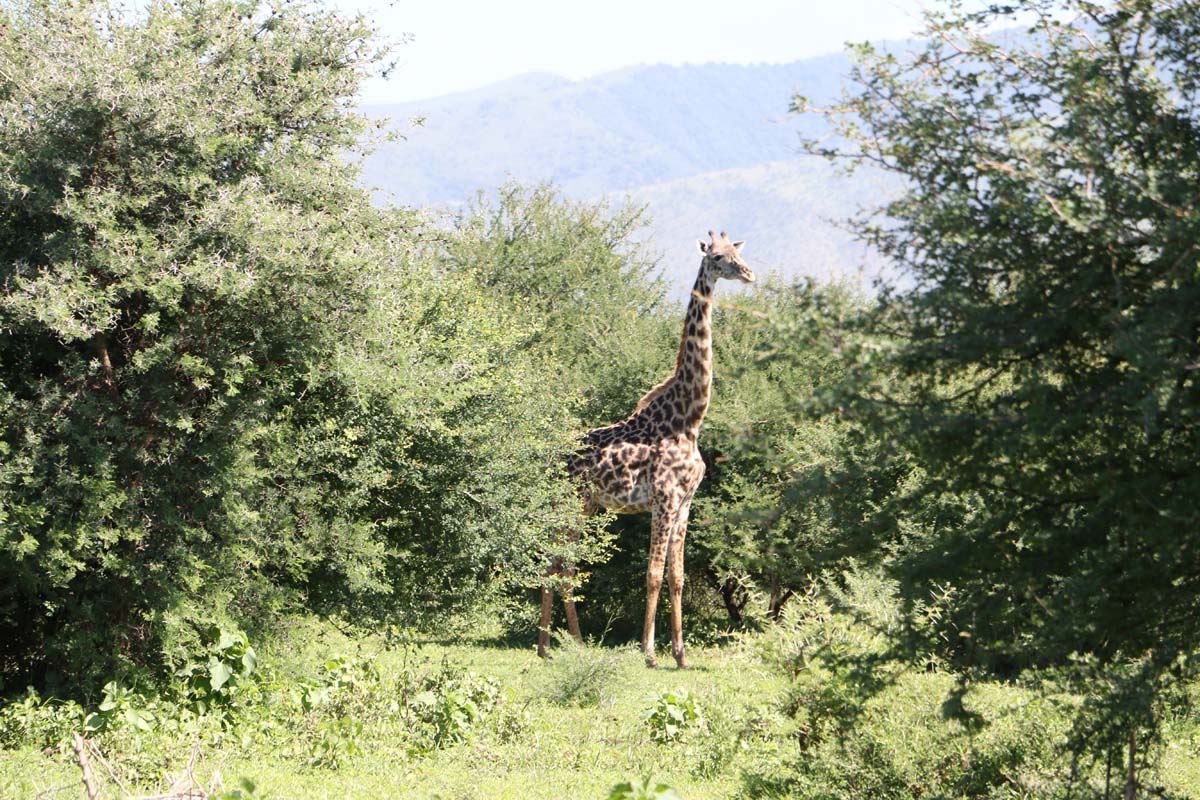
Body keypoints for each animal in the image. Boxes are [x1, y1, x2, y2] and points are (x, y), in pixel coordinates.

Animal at [538, 230, 755, 668]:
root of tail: (551, 461)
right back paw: (552, 645)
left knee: (562, 564)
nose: (748, 273)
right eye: (719, 257)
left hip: (586, 505)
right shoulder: (664, 499)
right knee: (557, 562)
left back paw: (562, 645)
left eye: (739, 252)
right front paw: (650, 652)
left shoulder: (686, 502)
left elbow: (677, 576)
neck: (689, 421)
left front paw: (681, 655)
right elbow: (653, 573)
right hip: (570, 503)